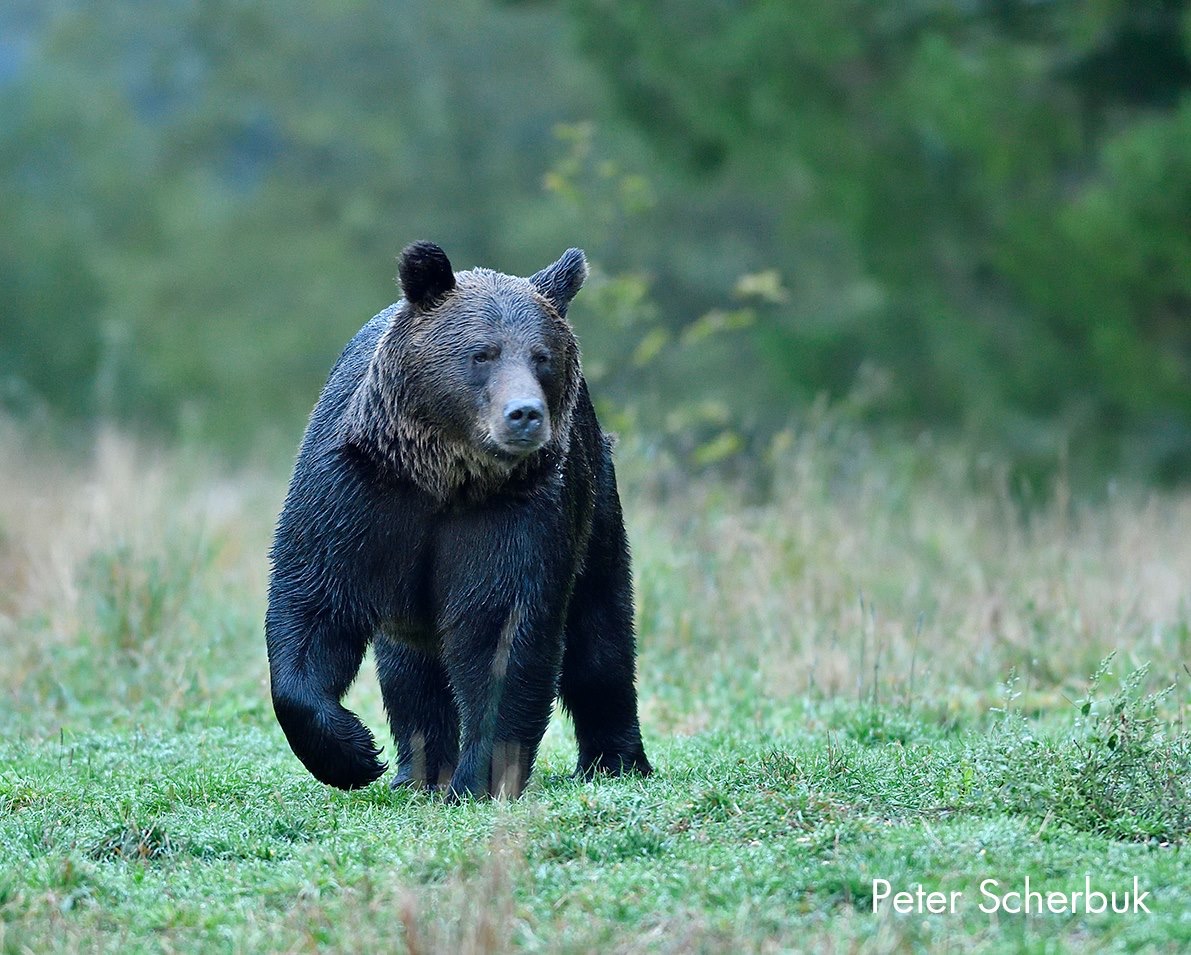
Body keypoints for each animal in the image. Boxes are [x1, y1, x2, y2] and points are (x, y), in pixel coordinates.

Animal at [264, 240, 652, 795]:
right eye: (482, 353)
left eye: (542, 356)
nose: (524, 414)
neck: (446, 476)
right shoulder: (356, 495)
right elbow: (312, 601)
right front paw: (355, 753)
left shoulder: (519, 513)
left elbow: (502, 633)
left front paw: (478, 780)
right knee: (409, 672)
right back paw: (417, 771)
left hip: (595, 500)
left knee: (602, 635)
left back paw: (616, 759)